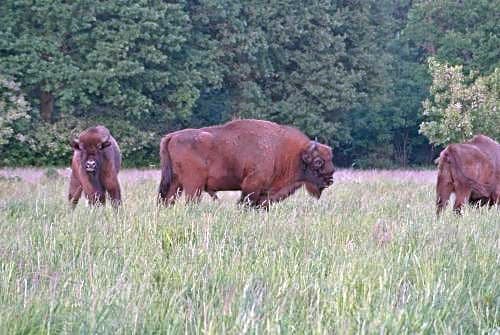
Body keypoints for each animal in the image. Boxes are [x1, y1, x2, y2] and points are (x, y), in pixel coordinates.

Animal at [156, 118, 336, 207]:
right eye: (318, 162)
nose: (330, 179)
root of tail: (171, 136)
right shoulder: (251, 186)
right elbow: (245, 203)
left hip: (175, 183)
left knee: (166, 200)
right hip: (193, 185)